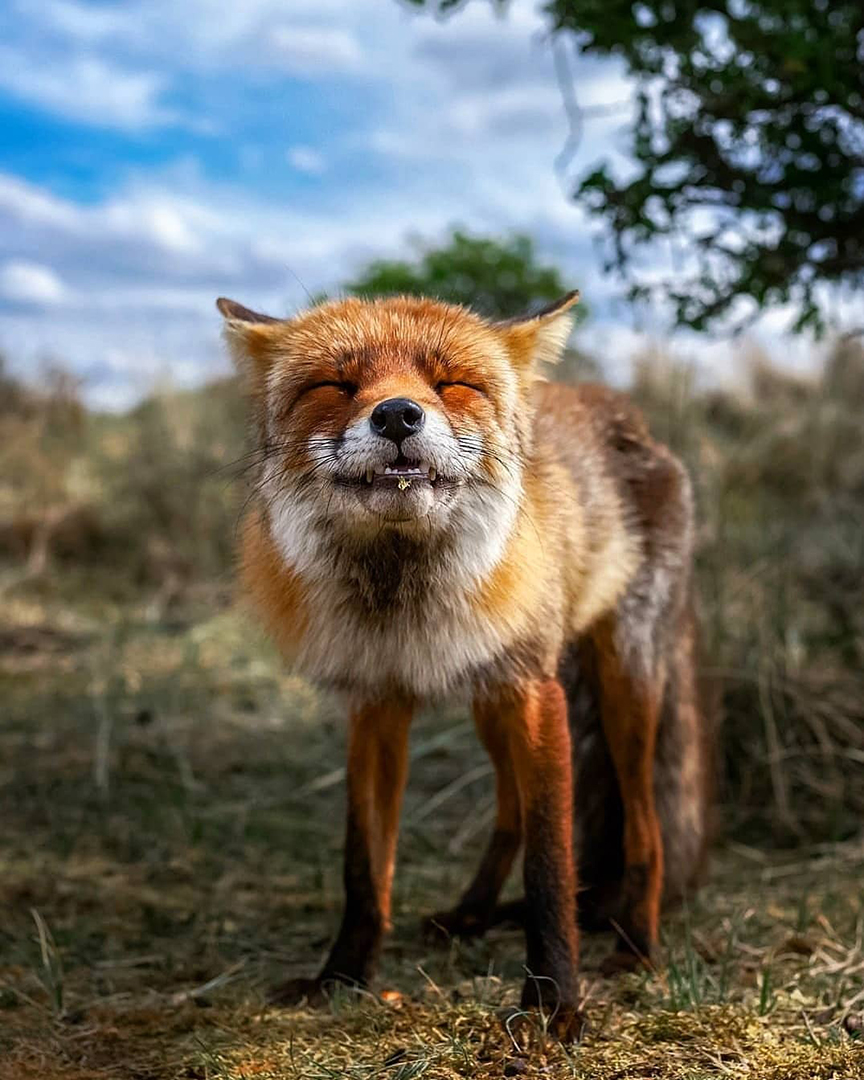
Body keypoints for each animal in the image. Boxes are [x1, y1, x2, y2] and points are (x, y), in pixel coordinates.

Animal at [216, 289, 708, 1036]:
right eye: (336, 385)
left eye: (452, 385)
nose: (397, 415)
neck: (403, 599)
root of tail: (629, 418)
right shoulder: (376, 702)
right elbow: (364, 867)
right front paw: (342, 976)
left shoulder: (535, 689)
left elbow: (550, 865)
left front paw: (553, 1005)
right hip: (488, 702)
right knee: (510, 809)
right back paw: (473, 914)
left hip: (622, 680)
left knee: (643, 827)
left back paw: (635, 945)